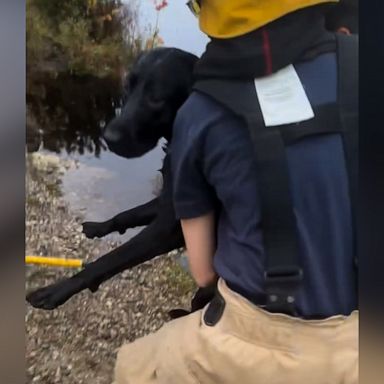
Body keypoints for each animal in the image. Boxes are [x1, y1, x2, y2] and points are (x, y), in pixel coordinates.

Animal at [26, 48, 214, 314]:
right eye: (127, 87)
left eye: (156, 98)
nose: (109, 138)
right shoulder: (165, 203)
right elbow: (127, 214)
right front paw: (100, 227)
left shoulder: (170, 228)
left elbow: (109, 259)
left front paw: (58, 290)